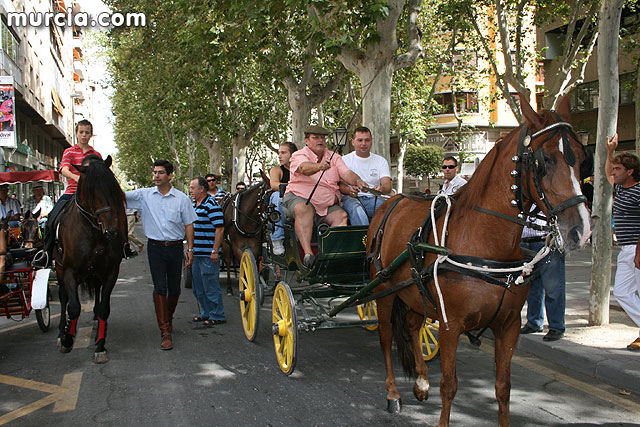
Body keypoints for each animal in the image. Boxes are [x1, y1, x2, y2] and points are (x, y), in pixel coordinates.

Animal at [55, 155, 127, 362]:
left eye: (113, 188)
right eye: (92, 191)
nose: (113, 231)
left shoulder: (111, 271)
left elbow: (104, 308)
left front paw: (100, 346)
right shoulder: (69, 271)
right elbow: (73, 307)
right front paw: (67, 339)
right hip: (59, 268)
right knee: (63, 297)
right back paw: (61, 332)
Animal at [368, 95, 592, 426]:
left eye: (581, 157)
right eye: (545, 160)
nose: (581, 230)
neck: (487, 244)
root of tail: (391, 200)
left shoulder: (509, 326)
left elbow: (503, 388)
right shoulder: (450, 325)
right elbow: (449, 385)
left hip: (414, 294)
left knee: (410, 326)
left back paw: (421, 381)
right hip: (383, 291)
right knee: (385, 337)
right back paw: (393, 393)